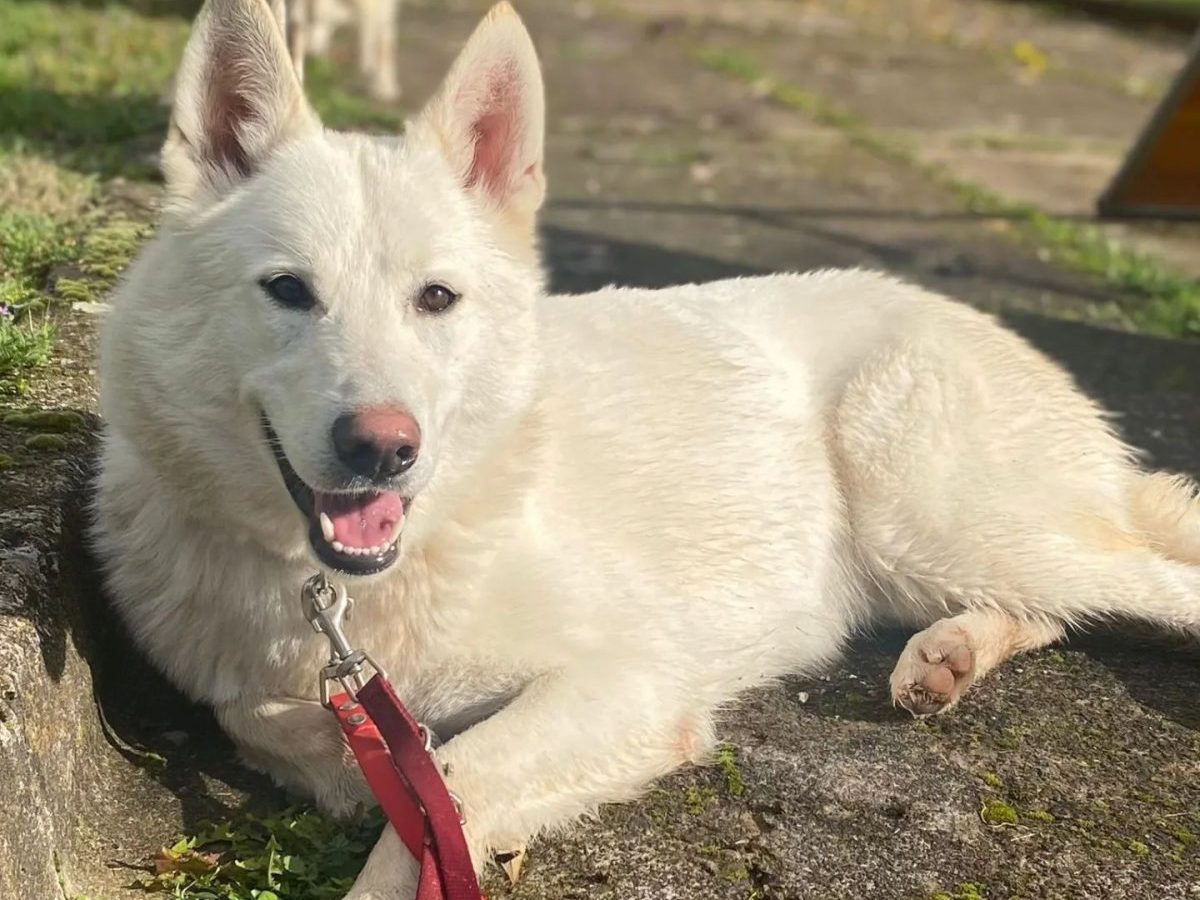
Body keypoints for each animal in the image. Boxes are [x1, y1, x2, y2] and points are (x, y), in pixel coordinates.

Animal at [93, 3, 1200, 897]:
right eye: (288, 291)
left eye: (436, 299)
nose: (382, 450)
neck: (351, 597)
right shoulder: (281, 692)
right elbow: (271, 722)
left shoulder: (628, 682)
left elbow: (452, 784)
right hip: (938, 552)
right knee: (1054, 607)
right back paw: (952, 656)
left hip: (931, 513)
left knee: (1147, 583)